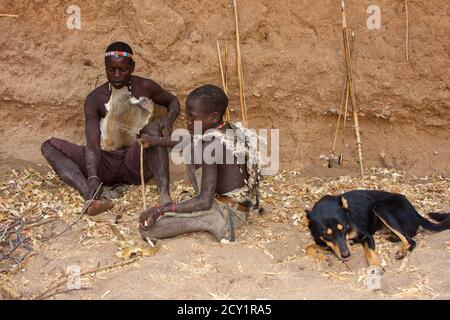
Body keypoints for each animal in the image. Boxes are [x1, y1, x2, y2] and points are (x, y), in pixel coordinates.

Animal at [306, 190, 450, 268]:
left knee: (410, 240)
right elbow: (309, 247)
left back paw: (402, 251)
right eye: (327, 234)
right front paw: (323, 257)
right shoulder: (320, 240)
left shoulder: (367, 235)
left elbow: (370, 253)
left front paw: (376, 267)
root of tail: (416, 213)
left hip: (380, 206)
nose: (346, 255)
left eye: (344, 228)